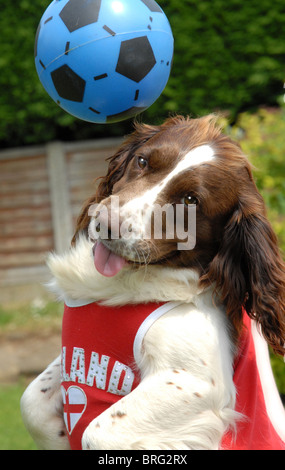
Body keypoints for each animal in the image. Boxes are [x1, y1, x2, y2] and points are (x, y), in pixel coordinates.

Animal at [20, 115, 284, 450]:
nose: (106, 224)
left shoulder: (193, 382)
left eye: (190, 200)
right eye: (142, 161)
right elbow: (32, 400)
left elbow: (97, 432)